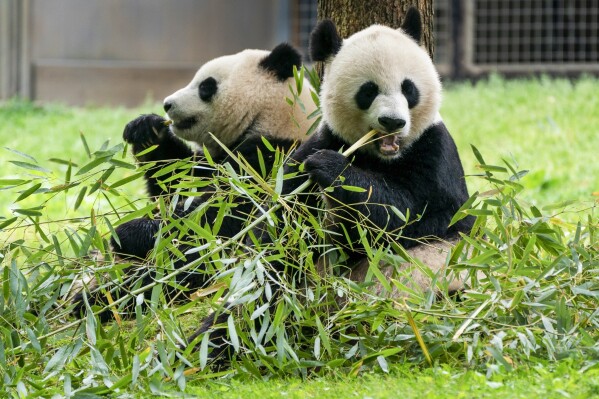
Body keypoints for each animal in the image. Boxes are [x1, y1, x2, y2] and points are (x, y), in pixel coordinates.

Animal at [72, 43, 316, 322]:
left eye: (205, 86)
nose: (167, 104)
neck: (274, 118)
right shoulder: (213, 160)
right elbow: (175, 184)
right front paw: (146, 130)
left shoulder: (271, 161)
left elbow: (219, 218)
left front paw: (128, 233)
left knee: (177, 274)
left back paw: (98, 300)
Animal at [185, 7, 476, 366]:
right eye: (368, 91)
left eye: (409, 89)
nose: (393, 122)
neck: (380, 156)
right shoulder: (317, 145)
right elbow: (281, 233)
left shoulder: (435, 153)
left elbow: (409, 215)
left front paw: (333, 169)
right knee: (262, 300)